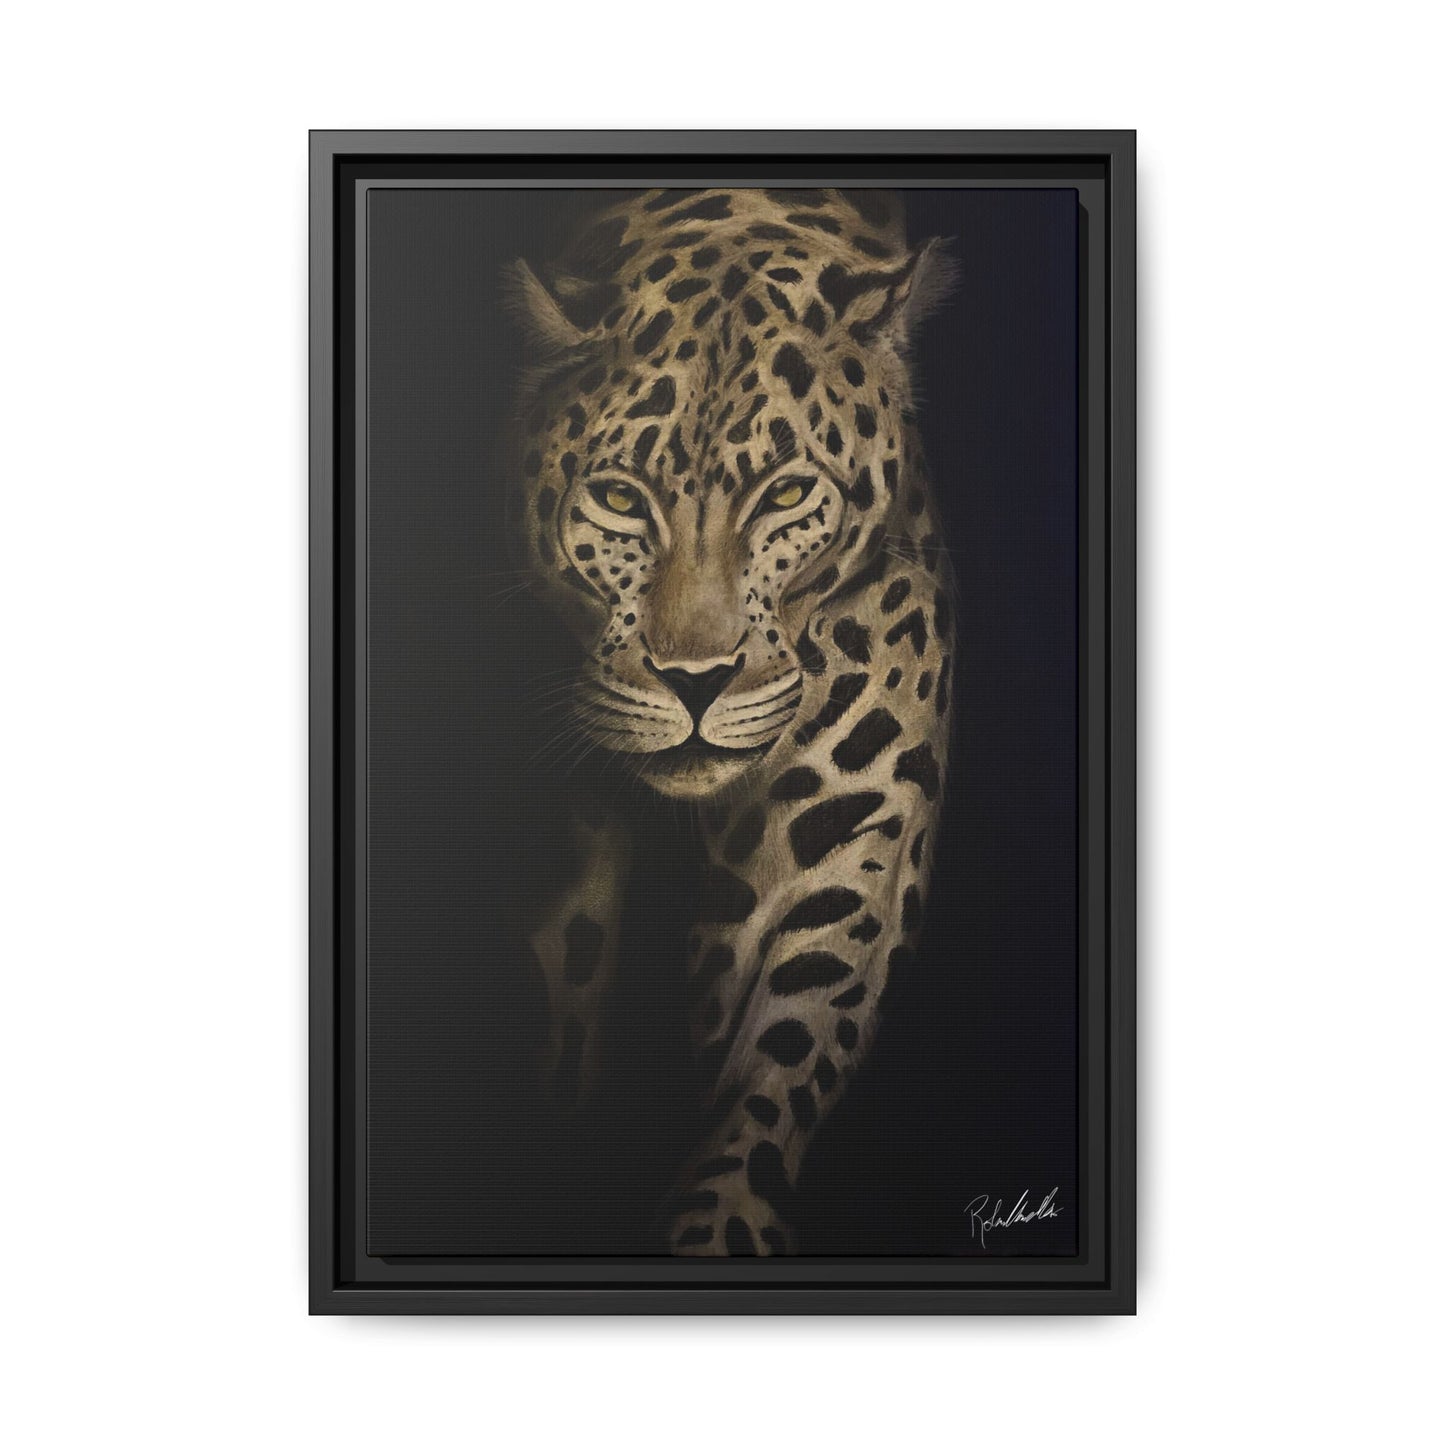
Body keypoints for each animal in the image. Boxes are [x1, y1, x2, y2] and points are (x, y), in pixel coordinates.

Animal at [504, 186, 956, 1256]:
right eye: (618, 497)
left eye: (786, 493)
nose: (695, 682)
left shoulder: (845, 839)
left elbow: (782, 1053)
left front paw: (719, 1224)